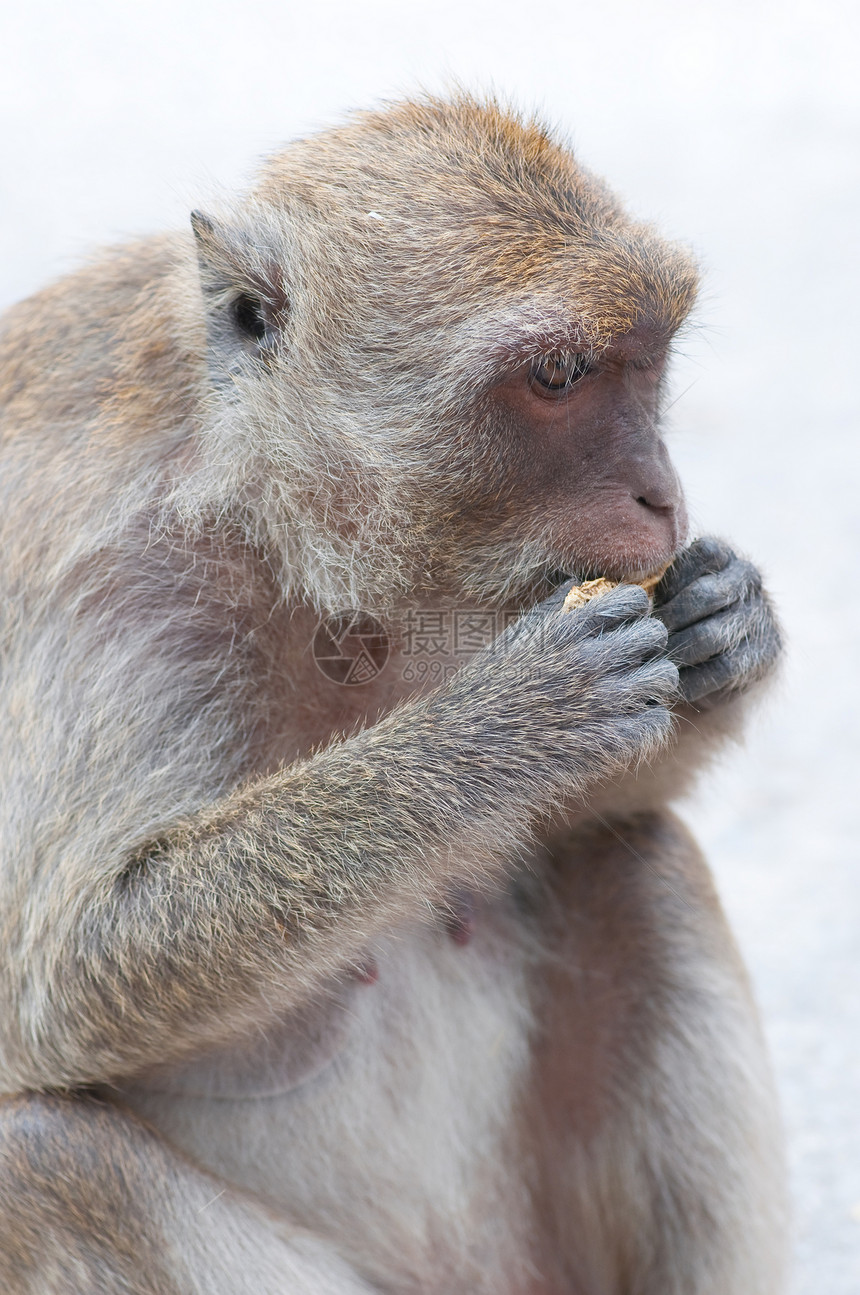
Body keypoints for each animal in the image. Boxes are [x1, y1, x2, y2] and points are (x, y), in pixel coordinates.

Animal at [0, 95, 787, 1289]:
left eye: (643, 362)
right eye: (560, 376)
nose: (661, 494)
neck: (284, 535)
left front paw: (723, 621)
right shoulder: (99, 589)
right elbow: (57, 982)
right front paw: (505, 726)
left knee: (635, 854)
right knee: (42, 1159)